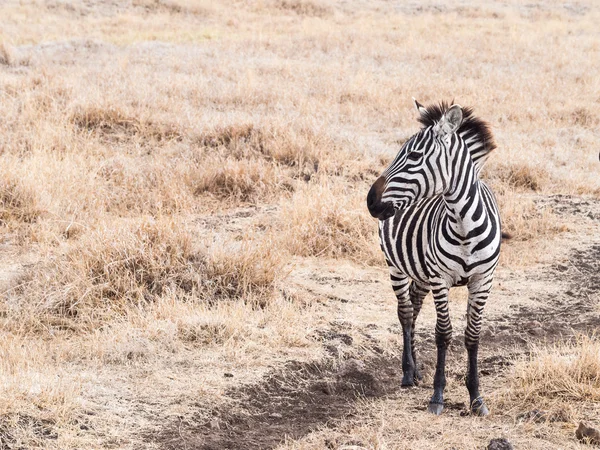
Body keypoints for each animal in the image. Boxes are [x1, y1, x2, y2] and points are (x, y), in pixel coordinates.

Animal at [366, 100, 502, 416]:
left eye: (414, 155)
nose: (370, 201)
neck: (464, 224)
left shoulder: (483, 280)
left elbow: (472, 335)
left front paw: (476, 397)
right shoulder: (441, 279)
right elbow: (443, 333)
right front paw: (438, 395)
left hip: (421, 271)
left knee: (415, 306)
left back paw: (416, 370)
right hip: (396, 266)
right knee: (405, 312)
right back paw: (407, 372)